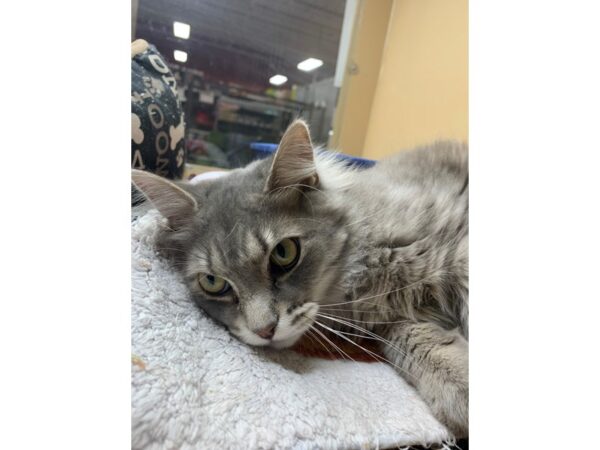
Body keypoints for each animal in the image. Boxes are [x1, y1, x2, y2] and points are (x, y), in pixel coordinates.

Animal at [131, 118, 468, 436]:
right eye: (213, 283)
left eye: (284, 253)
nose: (265, 330)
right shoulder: (390, 322)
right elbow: (414, 343)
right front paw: (458, 385)